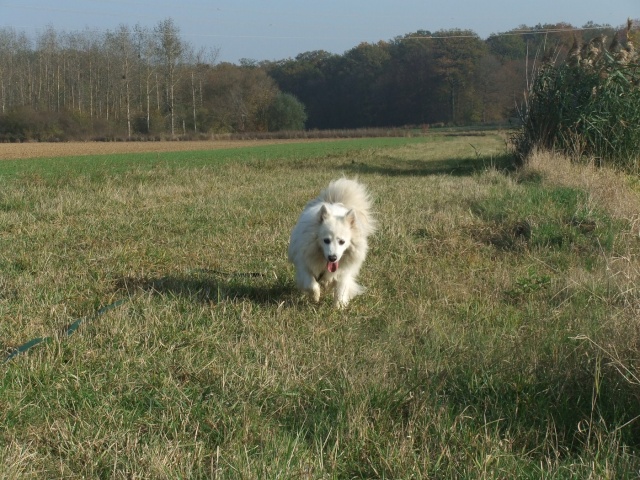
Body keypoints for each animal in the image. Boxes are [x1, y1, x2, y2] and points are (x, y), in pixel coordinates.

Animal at [288, 178, 376, 310]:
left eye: (342, 242)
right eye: (326, 240)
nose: (332, 257)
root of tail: (334, 203)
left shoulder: (343, 272)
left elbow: (341, 289)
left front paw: (338, 307)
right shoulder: (304, 265)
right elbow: (311, 284)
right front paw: (315, 296)